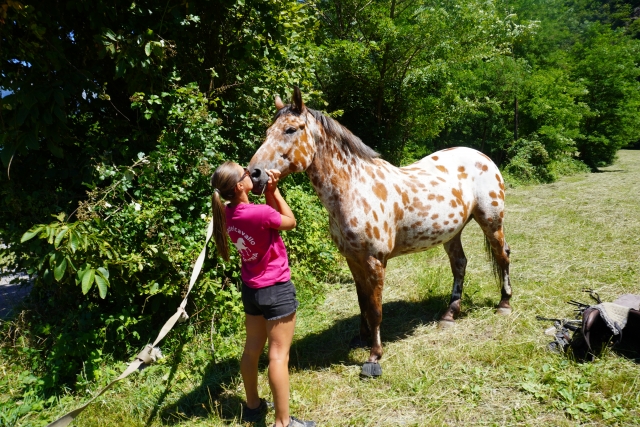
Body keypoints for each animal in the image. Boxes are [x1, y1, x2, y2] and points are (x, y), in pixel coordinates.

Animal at [248, 87, 512, 377]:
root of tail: (483, 157)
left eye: (291, 130)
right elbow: (362, 301)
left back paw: (504, 304)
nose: (254, 174)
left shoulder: (375, 261)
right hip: (452, 233)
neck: (355, 189)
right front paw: (361, 338)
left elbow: (375, 309)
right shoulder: (353, 260)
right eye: (267, 131)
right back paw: (449, 315)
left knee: (503, 256)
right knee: (460, 265)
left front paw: (374, 356)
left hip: (491, 222)